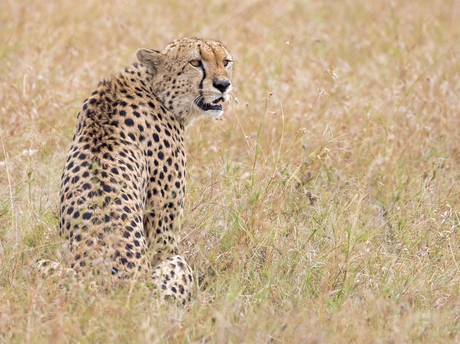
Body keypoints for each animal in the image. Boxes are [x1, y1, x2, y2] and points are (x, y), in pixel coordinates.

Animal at [55, 37, 234, 304]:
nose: (223, 85)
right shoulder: (164, 236)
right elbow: (164, 244)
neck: (154, 89)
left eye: (226, 61)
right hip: (173, 266)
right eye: (195, 62)